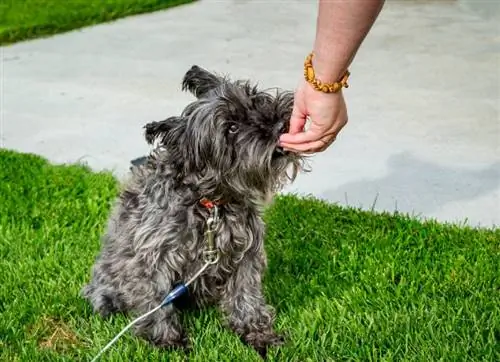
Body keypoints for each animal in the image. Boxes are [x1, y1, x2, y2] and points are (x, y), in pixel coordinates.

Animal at [81, 64, 306, 356]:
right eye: (231, 128)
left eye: (255, 98)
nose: (281, 124)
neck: (210, 203)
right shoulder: (153, 260)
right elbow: (156, 303)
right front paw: (168, 341)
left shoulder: (245, 255)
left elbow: (246, 297)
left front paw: (258, 334)